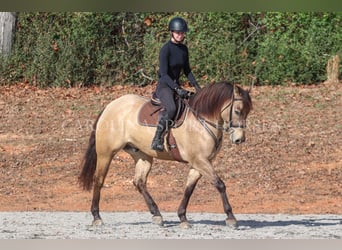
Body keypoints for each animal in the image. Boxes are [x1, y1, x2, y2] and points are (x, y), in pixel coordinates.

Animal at [79, 81, 252, 229]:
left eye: (248, 111)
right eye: (237, 111)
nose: (240, 139)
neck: (201, 120)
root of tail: (111, 105)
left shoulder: (200, 162)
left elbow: (189, 189)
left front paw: (182, 217)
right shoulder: (200, 161)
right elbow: (220, 184)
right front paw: (230, 217)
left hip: (143, 155)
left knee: (139, 181)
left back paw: (157, 214)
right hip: (106, 153)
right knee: (99, 180)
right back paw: (97, 217)